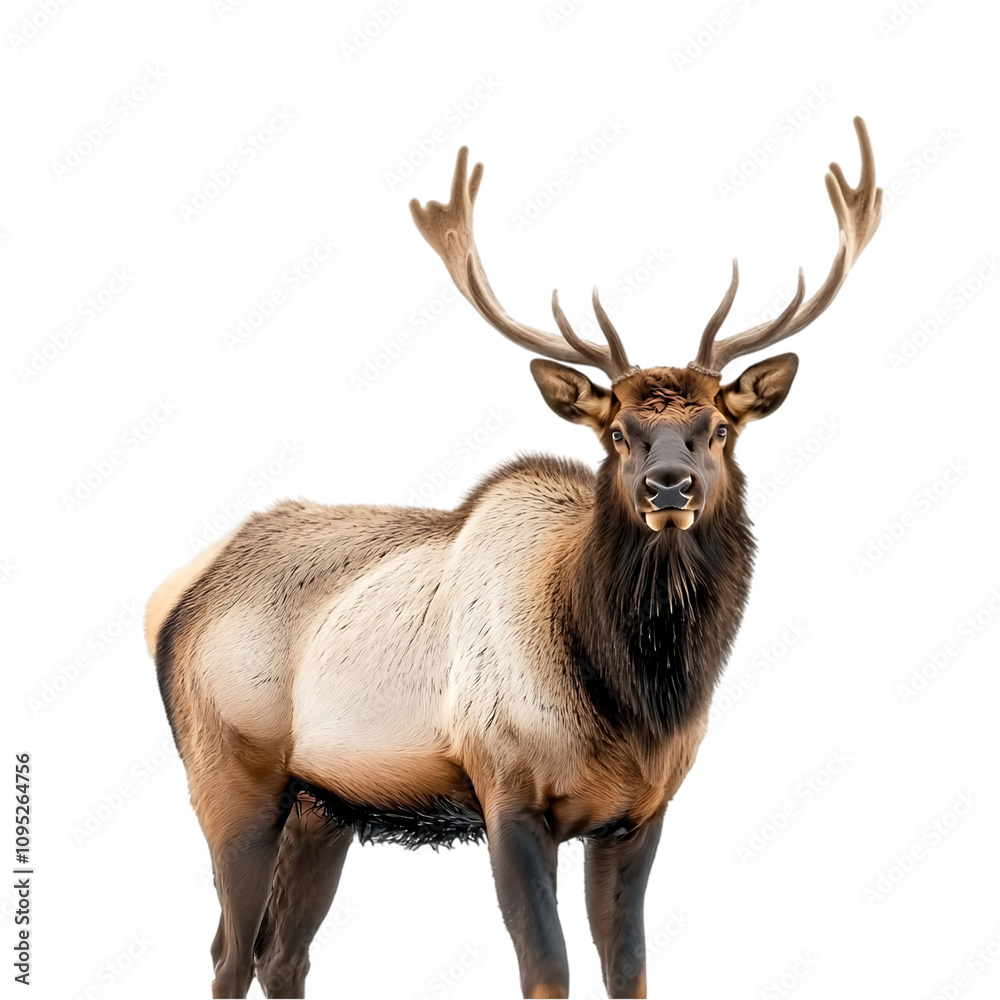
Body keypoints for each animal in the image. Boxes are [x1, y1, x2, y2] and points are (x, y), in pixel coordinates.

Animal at [147, 117, 881, 999]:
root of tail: (171, 597)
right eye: (616, 431)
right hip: (228, 773)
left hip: (325, 802)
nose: (669, 484)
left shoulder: (640, 812)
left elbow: (629, 967)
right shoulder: (506, 791)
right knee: (228, 951)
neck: (634, 700)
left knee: (282, 952)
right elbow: (548, 969)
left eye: (720, 427)